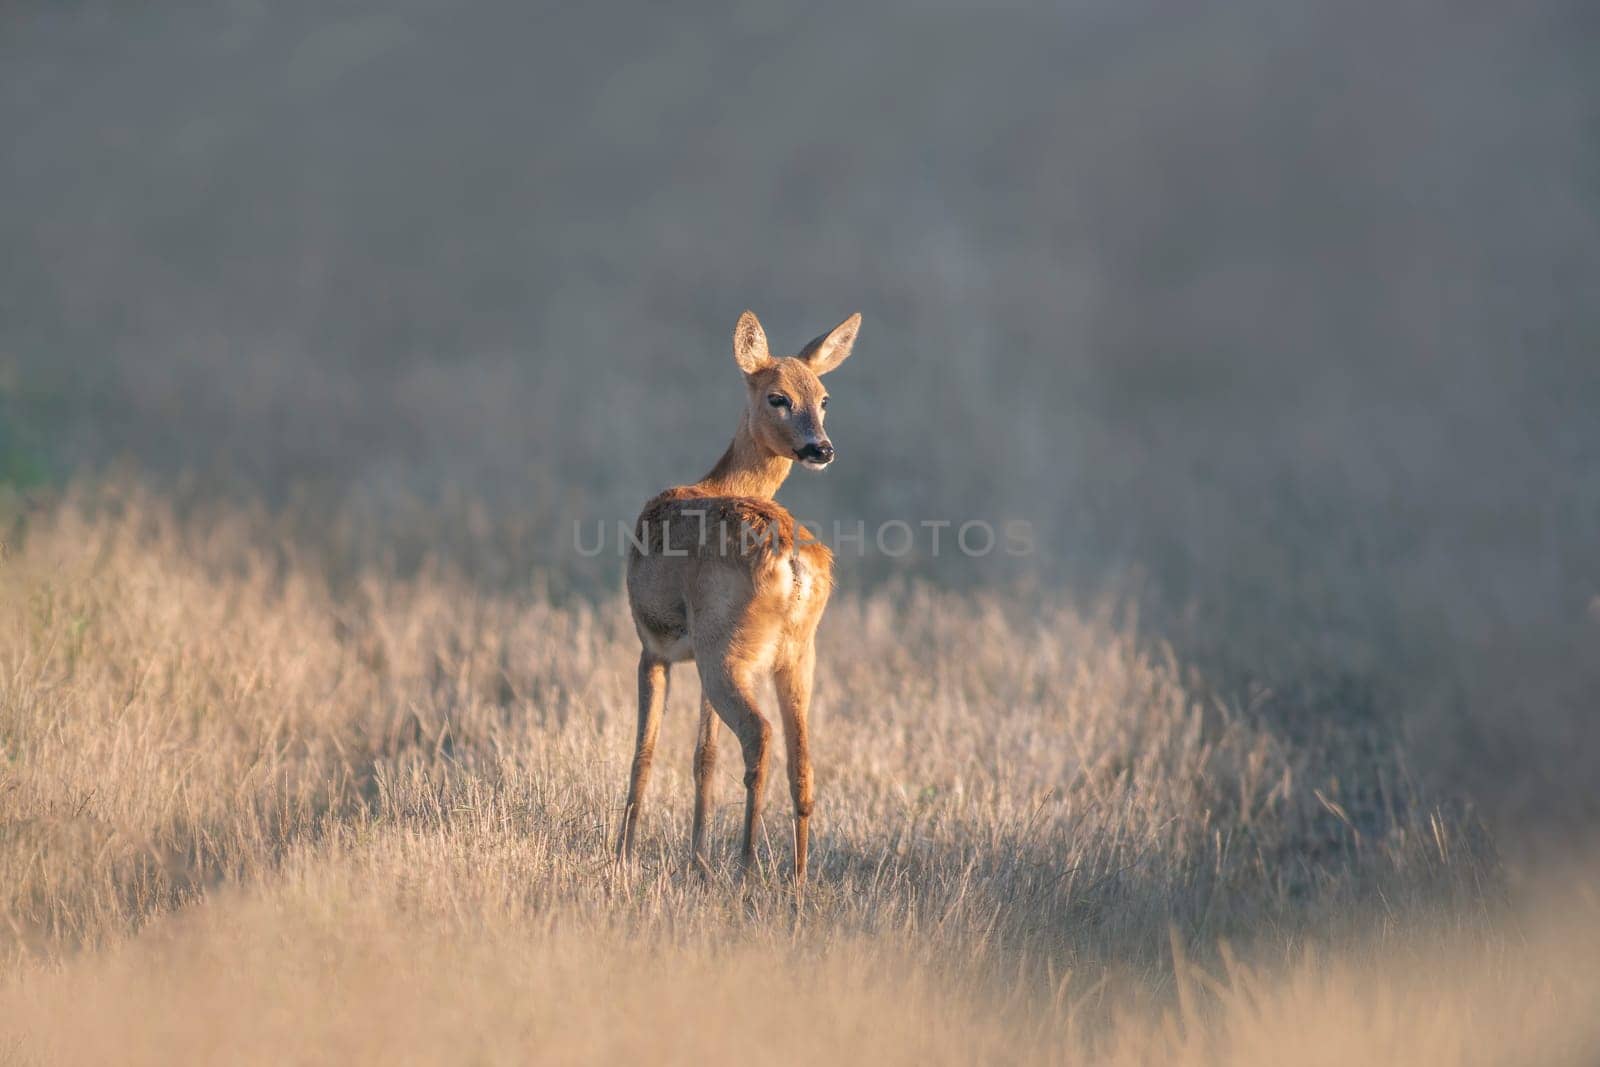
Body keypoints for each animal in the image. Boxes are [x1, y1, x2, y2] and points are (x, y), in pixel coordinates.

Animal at [614, 307, 864, 876]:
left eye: (824, 398)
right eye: (779, 397)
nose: (822, 448)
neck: (719, 483)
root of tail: (791, 560)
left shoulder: (651, 646)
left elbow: (645, 752)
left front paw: (622, 855)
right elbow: (703, 757)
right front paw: (697, 860)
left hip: (724, 649)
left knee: (759, 736)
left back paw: (748, 863)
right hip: (793, 652)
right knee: (802, 758)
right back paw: (797, 878)